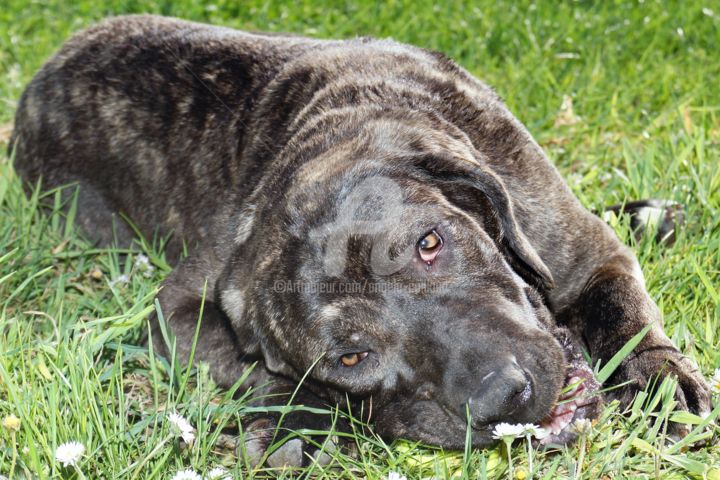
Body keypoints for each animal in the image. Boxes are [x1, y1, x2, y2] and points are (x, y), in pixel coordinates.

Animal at [9, 15, 708, 468]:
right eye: (350, 358)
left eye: (431, 243)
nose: (504, 395)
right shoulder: (174, 312)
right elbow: (248, 368)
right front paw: (298, 423)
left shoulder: (585, 258)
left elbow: (626, 316)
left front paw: (661, 387)